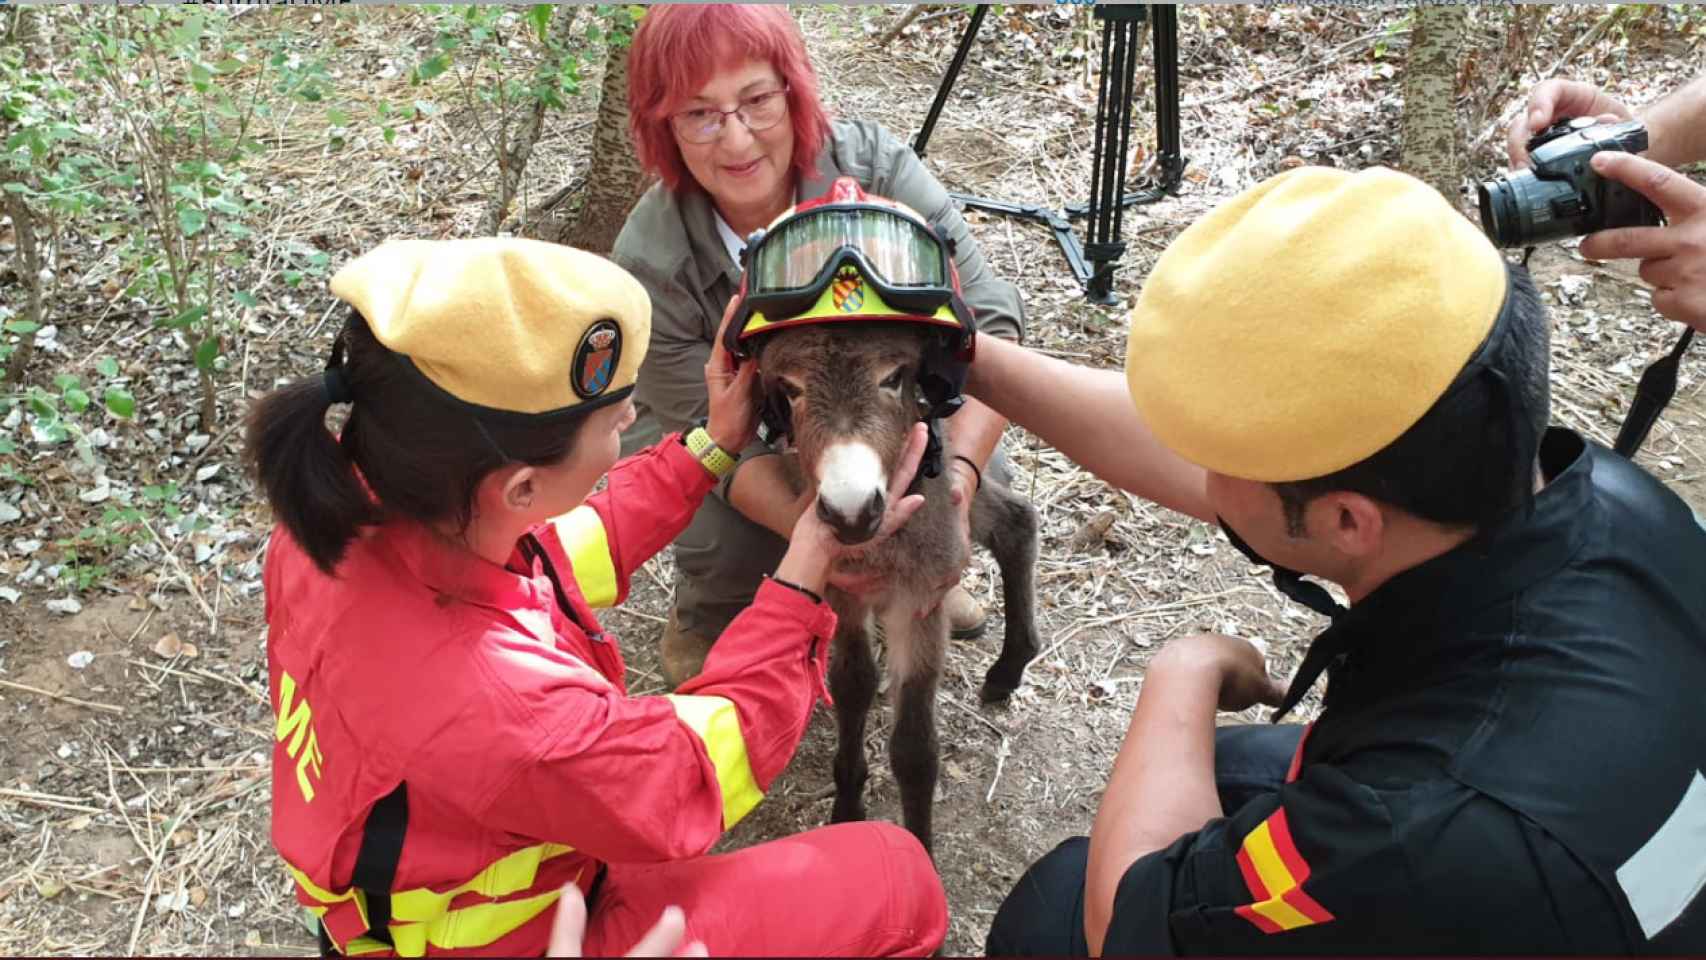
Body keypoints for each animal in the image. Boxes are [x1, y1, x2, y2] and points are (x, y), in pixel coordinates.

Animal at [760, 322, 1037, 855]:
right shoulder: (842, 587)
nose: (850, 511)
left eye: (893, 378)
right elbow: (853, 683)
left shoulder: (923, 594)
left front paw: (920, 854)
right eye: (790, 389)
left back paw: (1010, 665)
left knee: (1017, 520)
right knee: (1015, 521)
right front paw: (848, 808)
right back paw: (1011, 666)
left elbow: (914, 749)